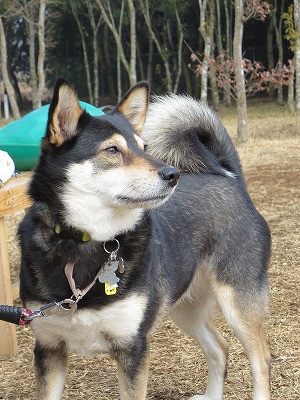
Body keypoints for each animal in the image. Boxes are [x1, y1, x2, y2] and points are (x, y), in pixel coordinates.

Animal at [18, 79, 272, 400]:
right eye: (112, 149)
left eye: (145, 148)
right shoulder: (48, 349)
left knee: (260, 361)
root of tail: (231, 179)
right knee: (220, 347)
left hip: (237, 304)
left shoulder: (133, 348)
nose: (172, 174)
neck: (87, 241)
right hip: (184, 308)